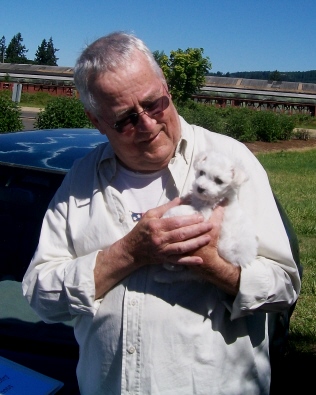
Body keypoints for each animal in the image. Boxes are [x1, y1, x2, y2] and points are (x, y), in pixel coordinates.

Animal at [155, 150, 256, 284]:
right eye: (202, 172)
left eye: (219, 181)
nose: (200, 188)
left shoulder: (204, 214)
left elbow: (181, 209)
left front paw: (166, 216)